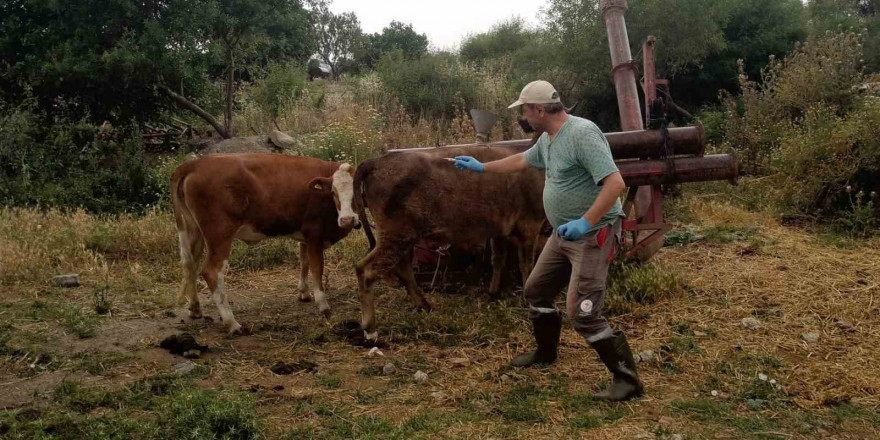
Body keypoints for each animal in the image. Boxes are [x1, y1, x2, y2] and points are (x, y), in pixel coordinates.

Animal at [170, 154, 360, 334]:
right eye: (334, 192)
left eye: (358, 191)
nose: (347, 219)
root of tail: (193, 164)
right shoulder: (314, 233)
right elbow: (316, 268)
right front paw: (323, 305)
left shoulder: (305, 235)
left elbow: (304, 262)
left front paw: (304, 293)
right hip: (219, 235)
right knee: (211, 272)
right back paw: (233, 324)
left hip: (193, 230)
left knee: (190, 264)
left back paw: (195, 308)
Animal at [354, 144, 548, 340]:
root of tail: (377, 161)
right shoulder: (530, 224)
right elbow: (527, 265)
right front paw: (527, 300)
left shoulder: (499, 230)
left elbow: (498, 259)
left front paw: (493, 291)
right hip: (395, 234)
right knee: (366, 270)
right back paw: (370, 328)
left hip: (402, 237)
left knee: (404, 268)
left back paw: (423, 305)